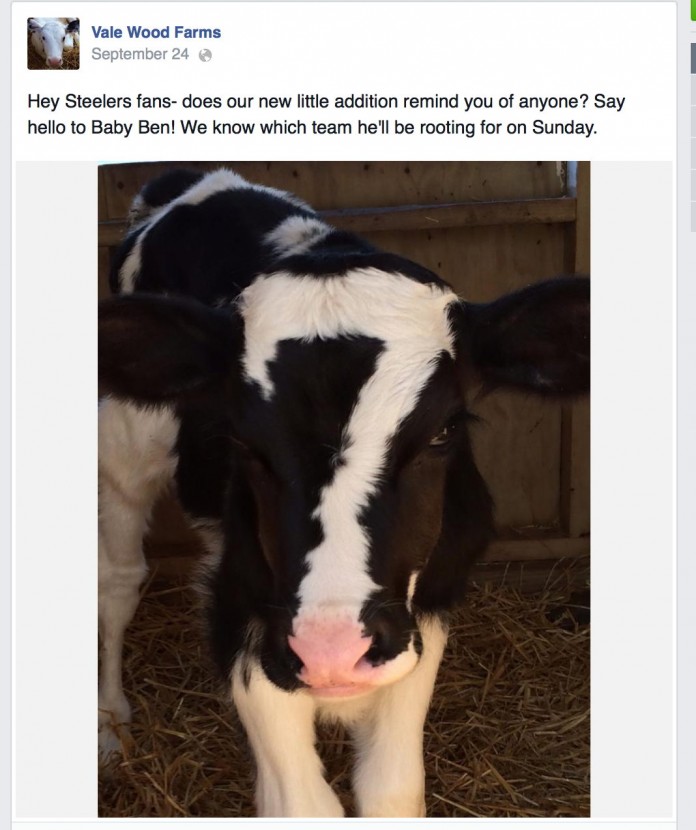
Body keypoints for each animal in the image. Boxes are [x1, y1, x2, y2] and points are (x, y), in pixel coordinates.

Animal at [98, 168, 590, 817]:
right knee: (118, 581)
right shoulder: (243, 610)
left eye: (443, 431)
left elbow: (392, 789)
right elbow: (304, 804)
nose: (330, 650)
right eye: (243, 441)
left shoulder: (425, 610)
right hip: (124, 447)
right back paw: (110, 726)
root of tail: (195, 181)